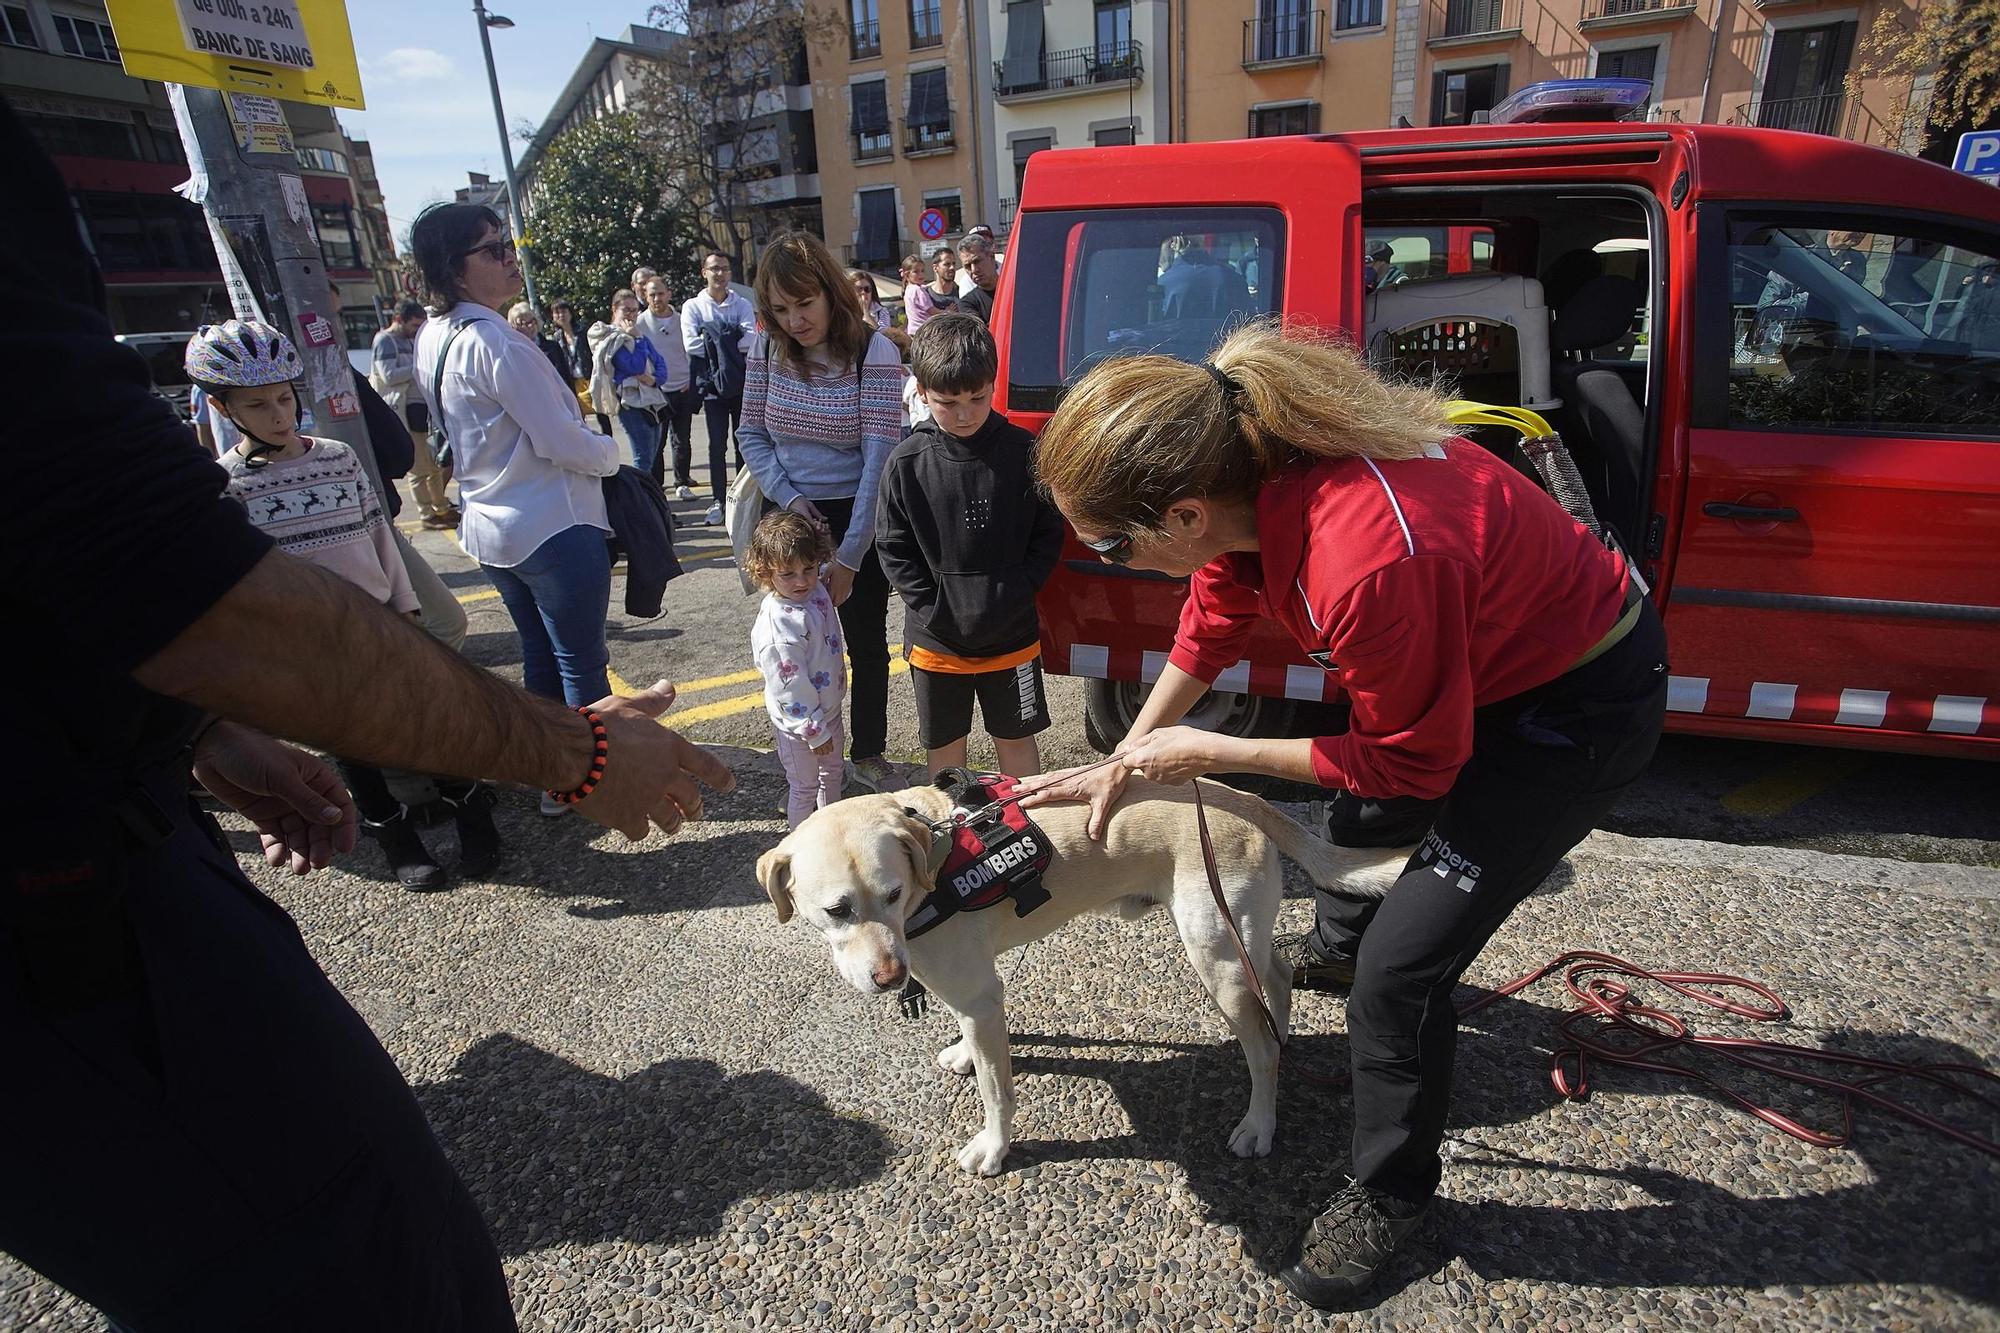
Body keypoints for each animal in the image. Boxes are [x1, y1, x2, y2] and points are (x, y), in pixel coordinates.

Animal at [752, 780, 1408, 1176]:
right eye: (837, 910)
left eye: (891, 895)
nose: (890, 977)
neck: (932, 863)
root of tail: (1239, 793)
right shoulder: (971, 994)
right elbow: (975, 1046)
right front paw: (963, 1053)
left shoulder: (981, 995)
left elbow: (997, 1091)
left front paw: (994, 1148)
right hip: (1240, 936)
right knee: (1278, 973)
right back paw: (1285, 1028)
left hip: (1214, 955)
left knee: (1262, 1052)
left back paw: (1259, 1123)